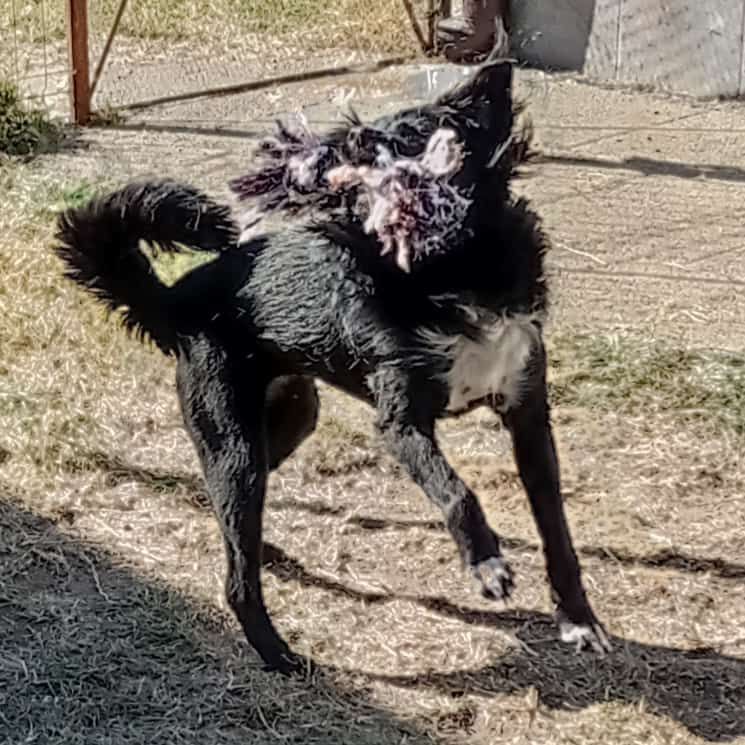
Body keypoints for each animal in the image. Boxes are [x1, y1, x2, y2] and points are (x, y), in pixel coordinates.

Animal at [54, 60, 610, 674]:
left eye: (411, 134)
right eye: (363, 137)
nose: (356, 140)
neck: (453, 272)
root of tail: (176, 299)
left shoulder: (528, 414)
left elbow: (557, 532)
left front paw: (579, 620)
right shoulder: (401, 422)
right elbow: (456, 493)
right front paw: (487, 565)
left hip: (290, 418)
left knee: (225, 514)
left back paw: (260, 553)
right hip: (235, 445)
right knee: (237, 580)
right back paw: (278, 654)